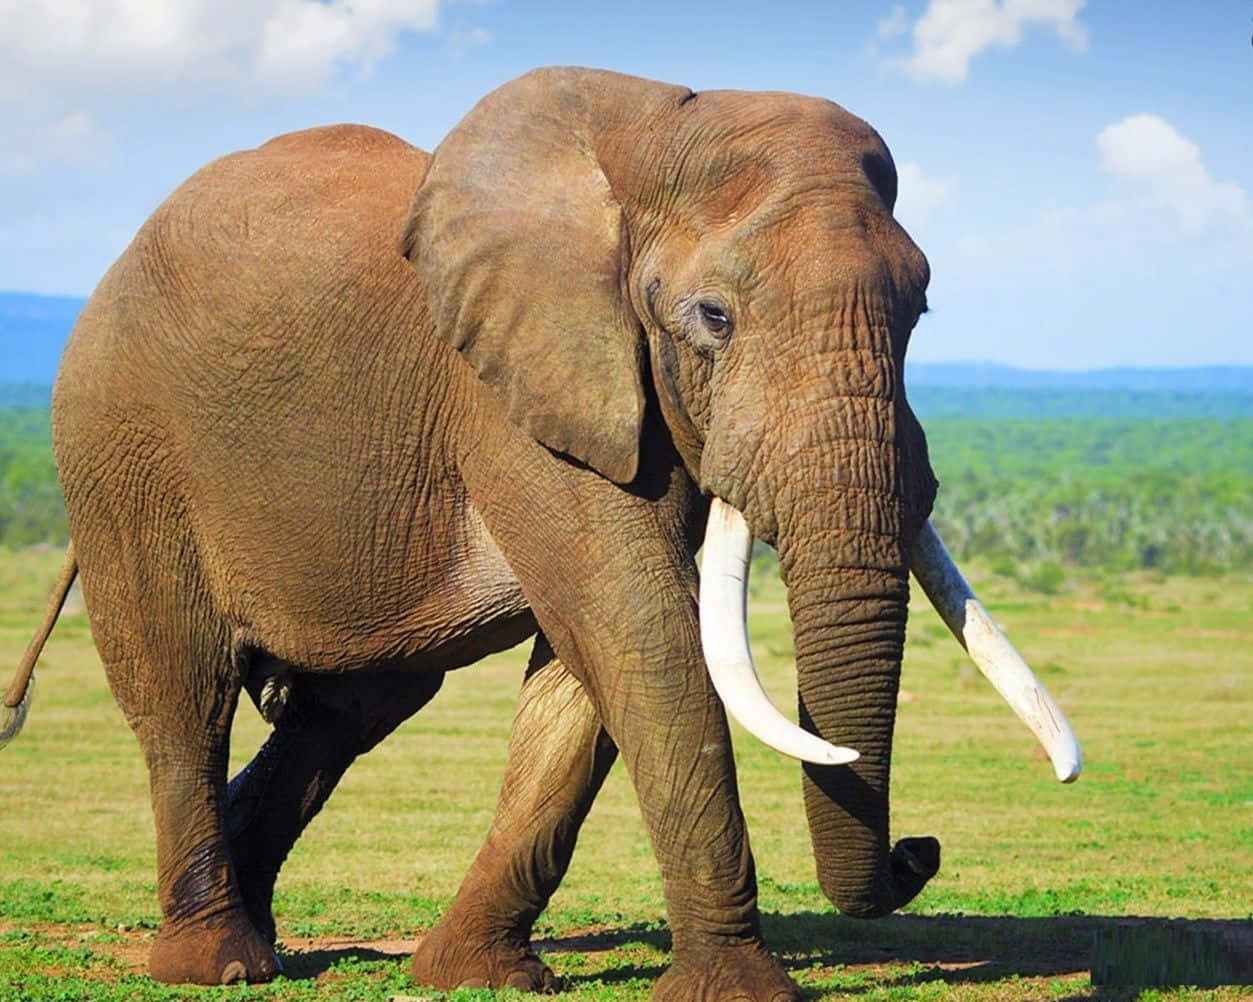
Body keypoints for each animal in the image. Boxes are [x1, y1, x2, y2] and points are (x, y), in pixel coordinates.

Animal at [2, 67, 1081, 1000]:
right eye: (713, 318)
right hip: (120, 449)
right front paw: (737, 991)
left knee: (348, 708)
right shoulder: (513, 386)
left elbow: (590, 665)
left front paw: (470, 978)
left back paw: (257, 925)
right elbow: (635, 624)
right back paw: (217, 964)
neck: (650, 132)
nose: (919, 850)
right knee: (182, 692)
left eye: (920, 310)